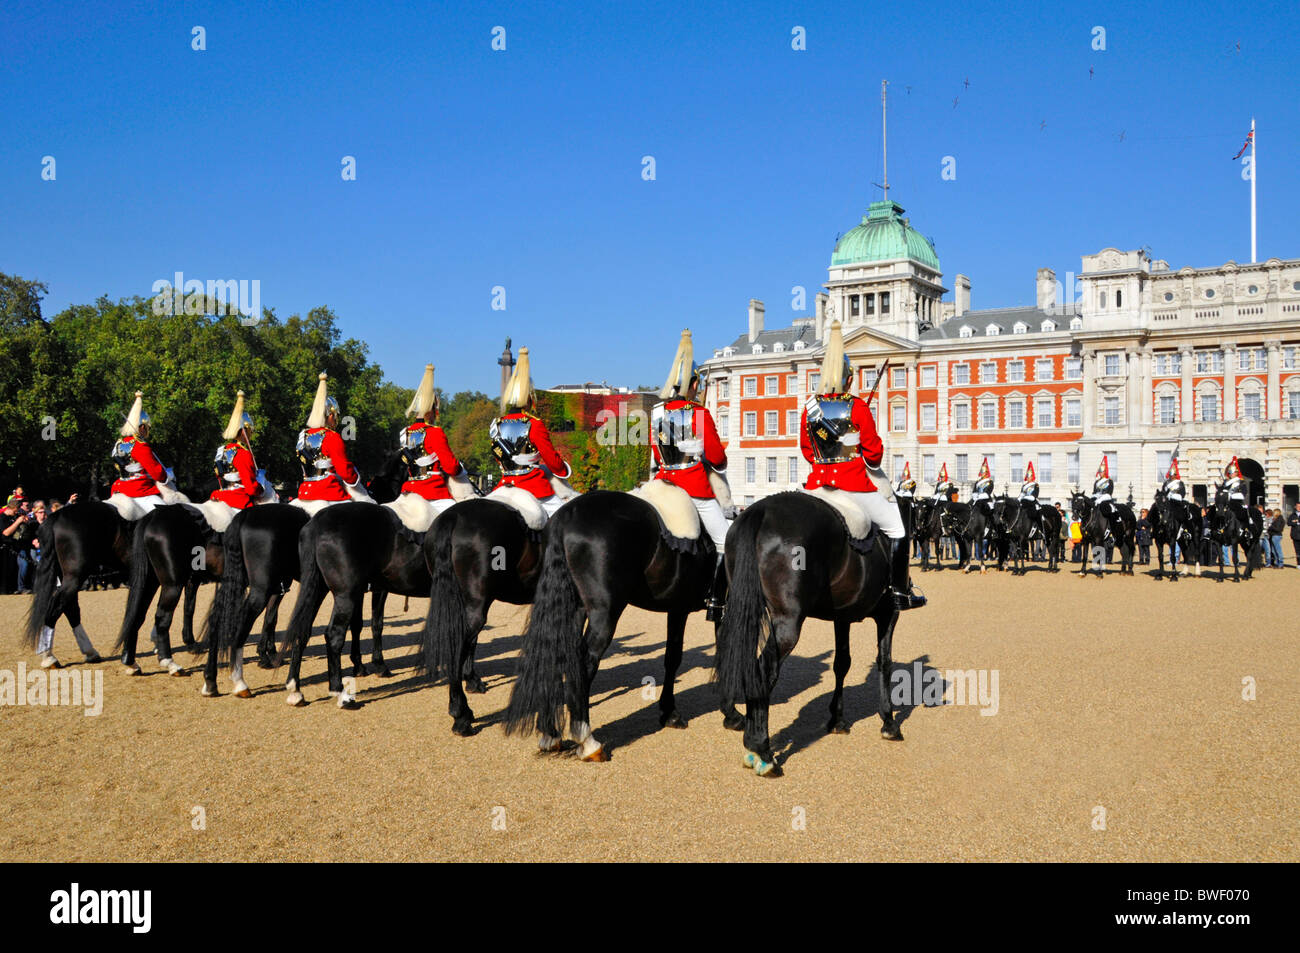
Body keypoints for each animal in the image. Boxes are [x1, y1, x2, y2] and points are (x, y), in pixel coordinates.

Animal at [501, 494, 733, 764]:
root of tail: (566, 516)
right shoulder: (711, 609)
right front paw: (731, 714)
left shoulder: (677, 609)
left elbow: (672, 658)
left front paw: (669, 713)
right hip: (606, 613)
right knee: (584, 663)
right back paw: (587, 741)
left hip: (574, 607)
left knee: (559, 656)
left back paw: (550, 734)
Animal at [712, 494, 904, 774]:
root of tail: (760, 509)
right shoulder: (888, 613)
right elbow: (885, 662)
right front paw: (889, 722)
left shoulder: (842, 617)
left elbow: (842, 663)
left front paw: (837, 719)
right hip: (787, 626)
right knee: (762, 672)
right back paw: (761, 749)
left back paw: (741, 726)